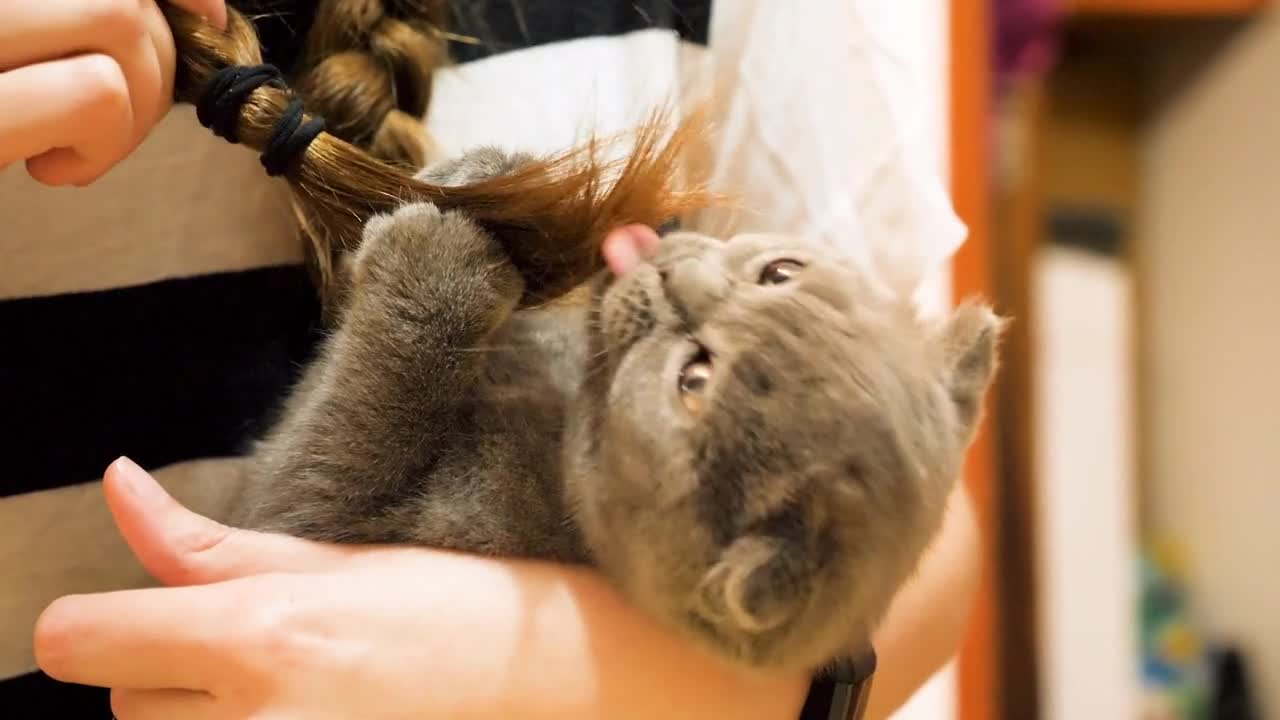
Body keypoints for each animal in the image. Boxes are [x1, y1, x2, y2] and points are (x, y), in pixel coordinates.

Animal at [235, 148, 1003, 671]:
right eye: (781, 272)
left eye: (694, 380)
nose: (675, 276)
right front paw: (492, 176)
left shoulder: (318, 522)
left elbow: (343, 427)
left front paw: (437, 256)